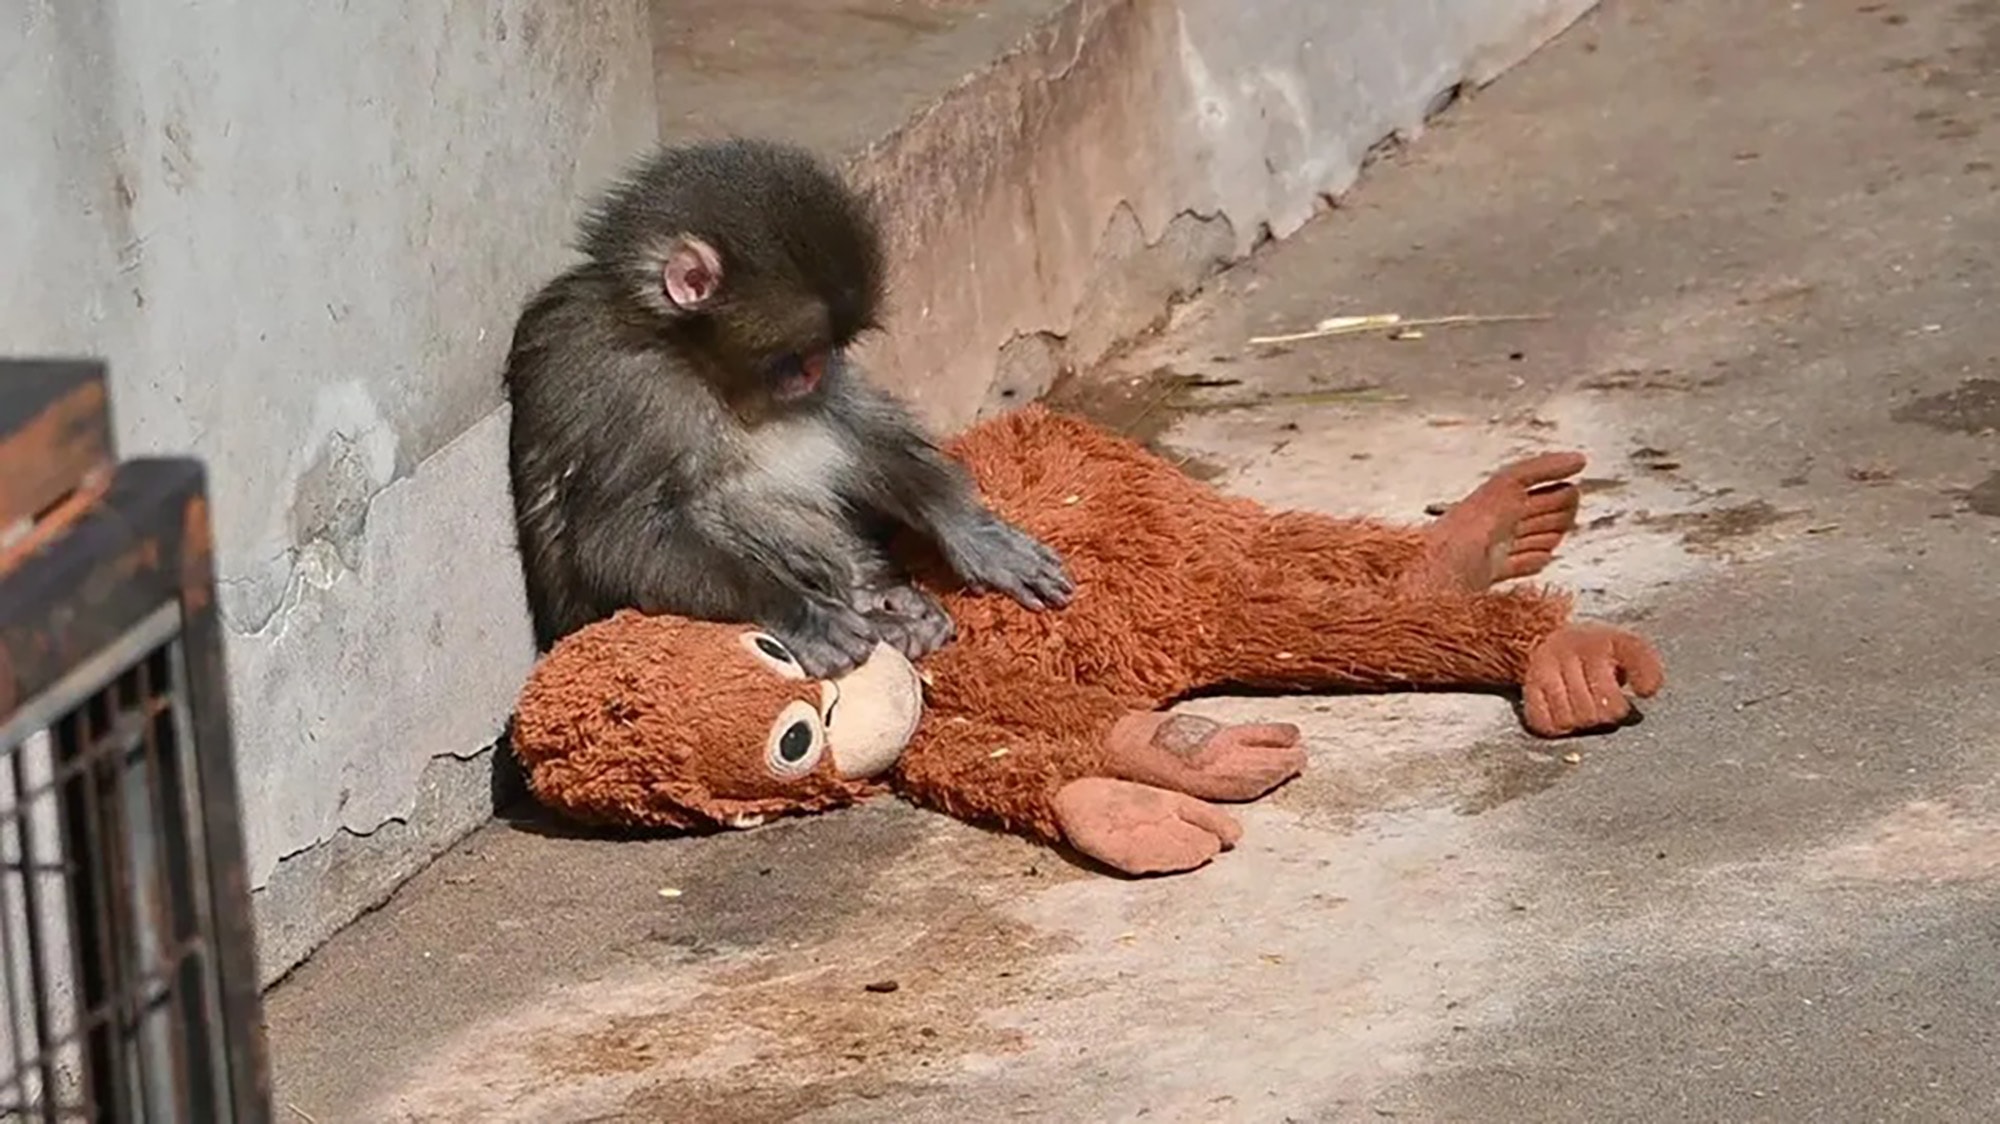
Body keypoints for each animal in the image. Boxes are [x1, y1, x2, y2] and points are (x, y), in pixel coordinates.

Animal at [502, 138, 1075, 678]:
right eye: (794, 357)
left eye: (826, 351)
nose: (816, 372)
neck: (689, 356)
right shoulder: (622, 386)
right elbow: (617, 535)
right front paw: (801, 613)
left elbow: (851, 421)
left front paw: (970, 528)